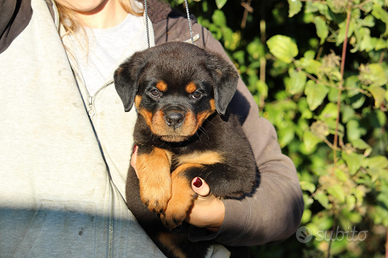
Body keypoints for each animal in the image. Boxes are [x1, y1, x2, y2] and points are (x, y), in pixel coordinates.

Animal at [113, 42, 258, 258]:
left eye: (196, 94)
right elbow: (152, 150)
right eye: (154, 91)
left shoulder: (241, 170)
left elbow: (189, 169)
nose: (174, 118)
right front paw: (156, 192)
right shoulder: (141, 138)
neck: (180, 145)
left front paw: (173, 205)